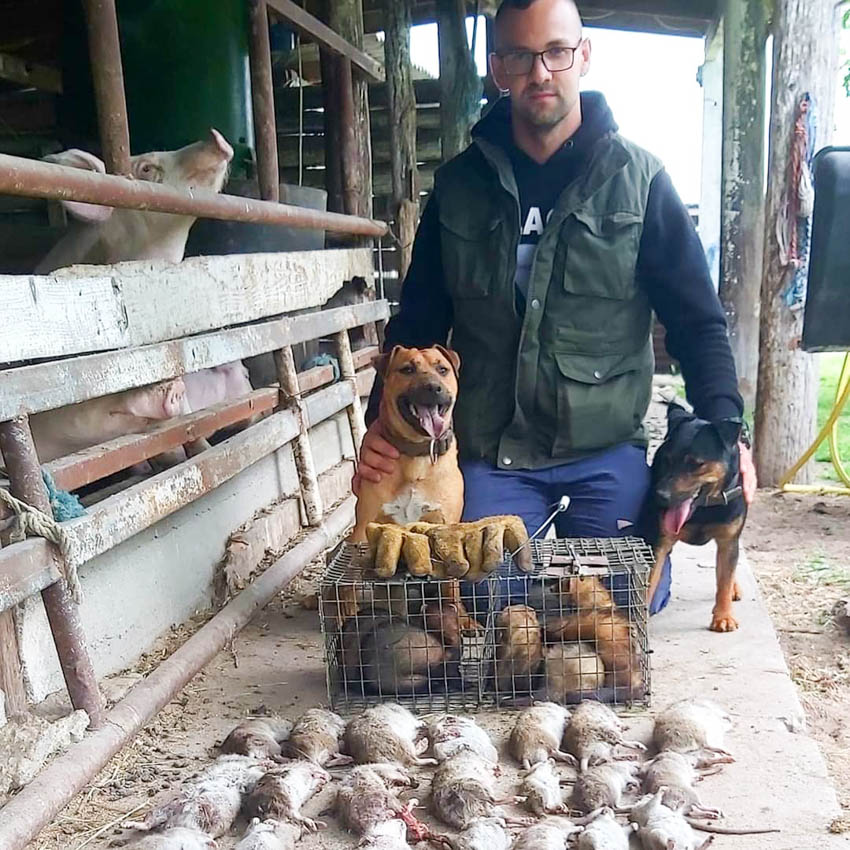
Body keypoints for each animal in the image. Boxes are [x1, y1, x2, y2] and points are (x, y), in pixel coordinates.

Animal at [644, 402, 744, 628]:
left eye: (697, 464)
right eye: (667, 459)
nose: (660, 496)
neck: (704, 508)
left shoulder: (728, 540)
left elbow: (725, 579)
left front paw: (723, 617)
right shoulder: (660, 541)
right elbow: (650, 580)